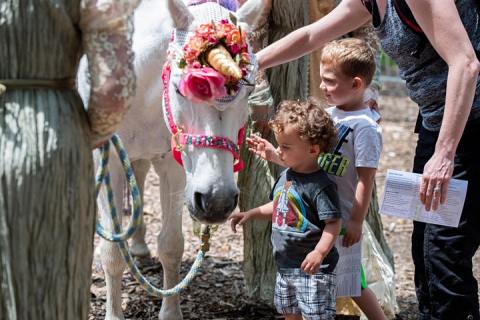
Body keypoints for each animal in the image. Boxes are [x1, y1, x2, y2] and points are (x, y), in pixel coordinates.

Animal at [77, 0, 268, 320]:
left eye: (249, 90)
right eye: (181, 88)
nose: (217, 200)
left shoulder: (173, 165)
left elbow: (171, 245)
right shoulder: (109, 159)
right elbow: (112, 252)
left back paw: (140, 244)